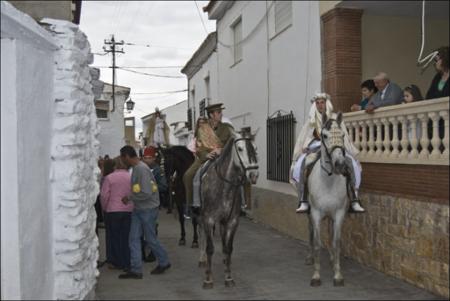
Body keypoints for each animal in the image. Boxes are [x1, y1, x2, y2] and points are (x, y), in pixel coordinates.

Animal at [199, 131, 258, 288]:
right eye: (240, 148)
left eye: (255, 148)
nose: (253, 175)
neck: (224, 187)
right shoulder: (208, 219)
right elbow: (210, 248)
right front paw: (208, 279)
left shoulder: (232, 221)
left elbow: (228, 248)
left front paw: (228, 276)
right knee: (201, 234)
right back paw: (202, 259)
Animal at [304, 110, 350, 286]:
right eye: (324, 135)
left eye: (343, 135)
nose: (340, 164)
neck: (328, 181)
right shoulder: (316, 213)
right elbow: (317, 243)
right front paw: (316, 276)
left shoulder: (339, 213)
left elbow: (336, 242)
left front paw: (337, 274)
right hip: (310, 213)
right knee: (310, 231)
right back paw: (310, 257)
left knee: (330, 234)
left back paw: (331, 259)